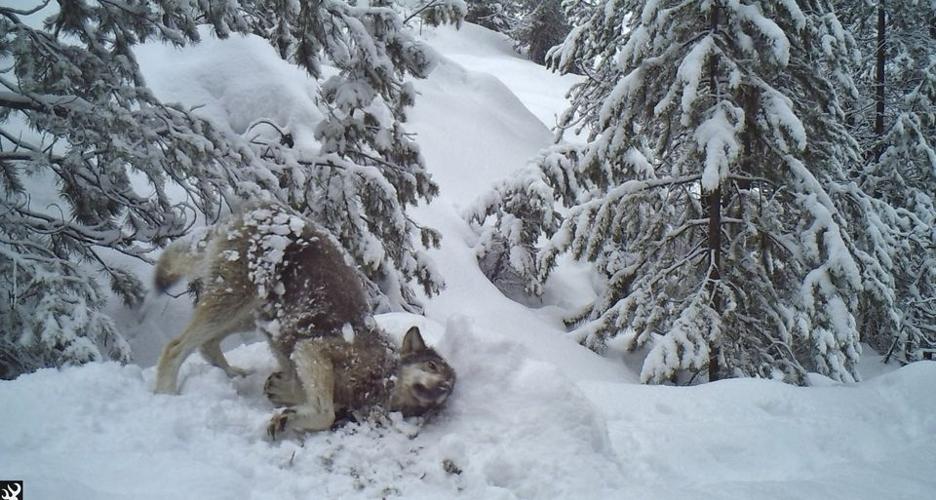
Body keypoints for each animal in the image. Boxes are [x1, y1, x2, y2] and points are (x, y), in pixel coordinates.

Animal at [152, 204, 456, 437]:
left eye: (449, 387)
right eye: (431, 367)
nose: (442, 387)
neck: (382, 374)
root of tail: (260, 208)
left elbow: (306, 395)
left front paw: (283, 396)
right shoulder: (312, 349)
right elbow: (326, 413)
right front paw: (289, 417)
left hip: (254, 316)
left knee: (207, 344)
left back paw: (235, 376)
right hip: (235, 301)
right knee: (176, 346)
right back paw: (166, 394)